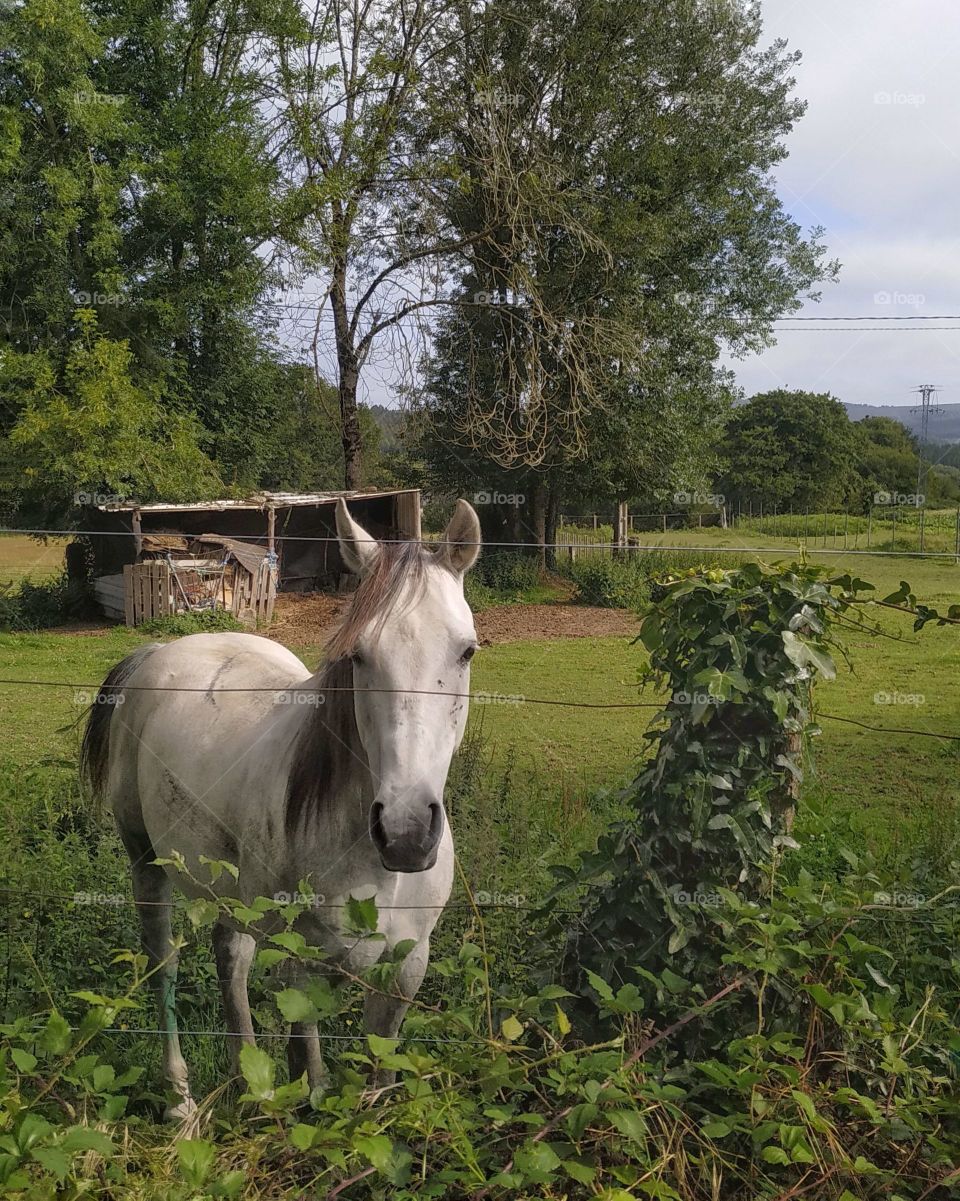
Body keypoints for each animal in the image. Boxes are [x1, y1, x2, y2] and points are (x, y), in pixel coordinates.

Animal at [81, 498, 481, 1119]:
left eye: (466, 650)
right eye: (358, 655)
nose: (406, 832)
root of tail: (161, 651)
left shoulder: (404, 972)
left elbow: (378, 1082)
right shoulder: (297, 969)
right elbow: (310, 1077)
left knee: (230, 959)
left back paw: (250, 1087)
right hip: (147, 864)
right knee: (163, 964)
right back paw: (180, 1100)